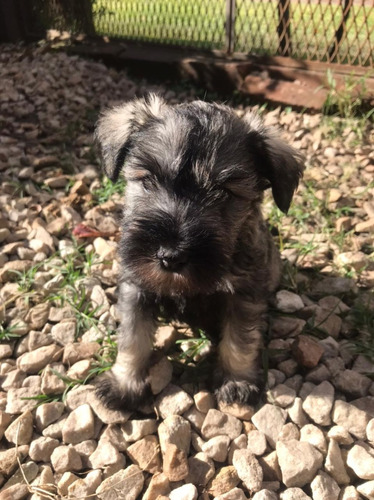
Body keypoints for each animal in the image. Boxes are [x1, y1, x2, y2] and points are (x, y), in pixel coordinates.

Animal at [94, 94, 304, 410]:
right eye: (148, 180)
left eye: (225, 193)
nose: (170, 256)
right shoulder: (137, 287)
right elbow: (133, 339)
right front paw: (124, 383)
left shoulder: (242, 295)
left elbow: (239, 340)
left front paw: (237, 380)